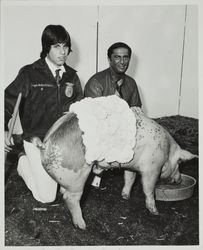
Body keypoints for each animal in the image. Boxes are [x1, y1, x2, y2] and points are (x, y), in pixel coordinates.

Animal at [34, 96, 197, 229]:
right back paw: (82, 225)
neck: (167, 150)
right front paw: (155, 212)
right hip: (78, 175)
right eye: (179, 164)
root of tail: (45, 144)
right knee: (70, 198)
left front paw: (125, 196)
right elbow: (148, 189)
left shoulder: (131, 165)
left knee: (63, 192)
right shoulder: (152, 168)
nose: (179, 180)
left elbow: (129, 178)